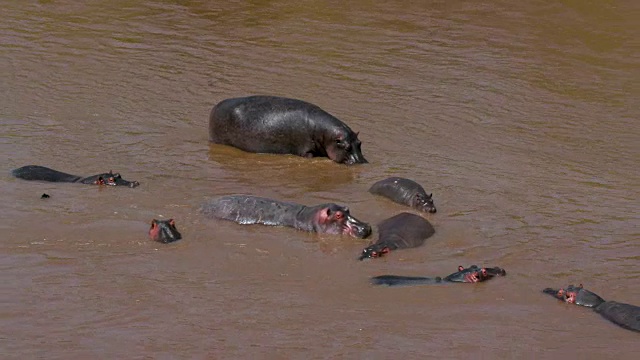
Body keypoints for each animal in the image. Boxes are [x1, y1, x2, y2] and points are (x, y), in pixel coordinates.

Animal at [209, 94, 368, 165]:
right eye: (346, 147)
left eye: (360, 143)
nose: (362, 162)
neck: (325, 134)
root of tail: (215, 107)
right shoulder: (306, 151)